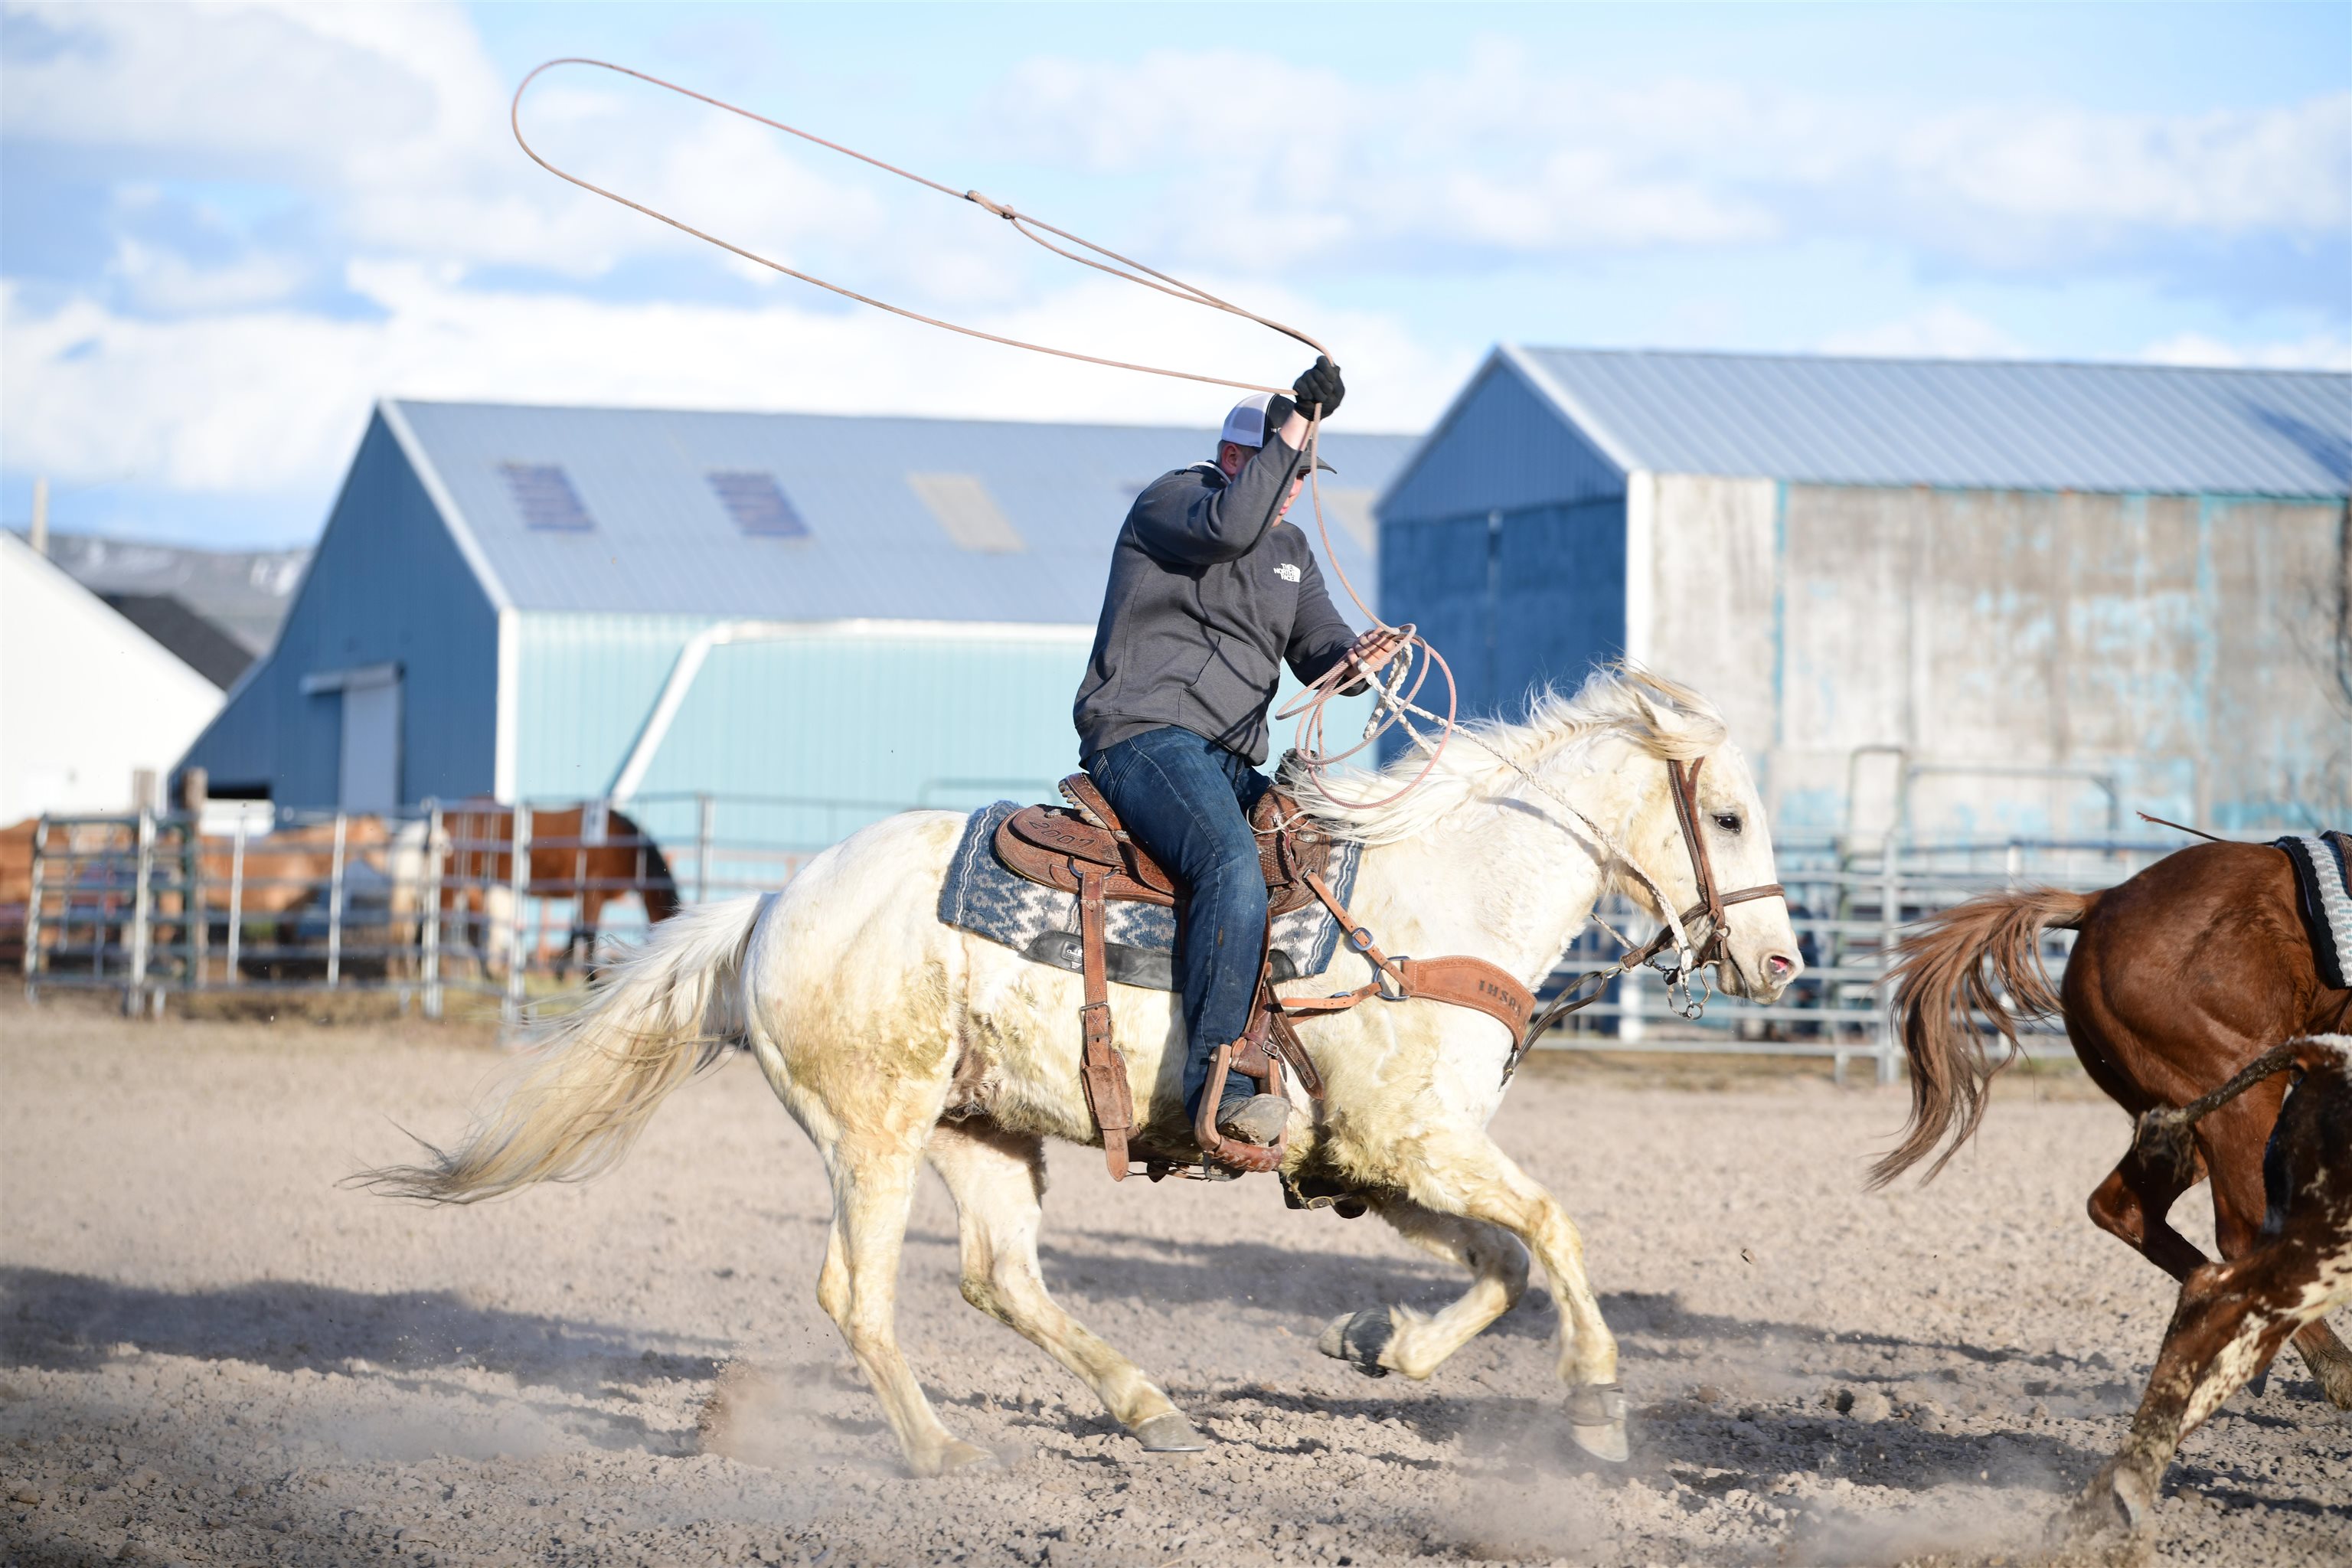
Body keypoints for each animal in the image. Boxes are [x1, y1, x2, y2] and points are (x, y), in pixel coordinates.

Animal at [442, 804, 681, 973]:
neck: (623, 847)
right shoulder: (593, 894)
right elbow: (588, 936)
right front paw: (592, 983)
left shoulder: (585, 896)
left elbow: (575, 931)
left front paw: (562, 972)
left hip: (473, 886)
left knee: (472, 930)